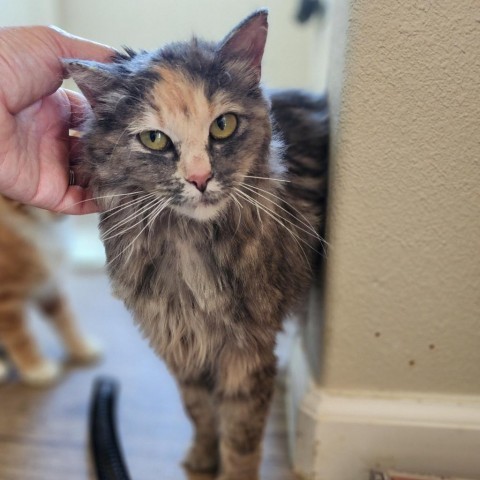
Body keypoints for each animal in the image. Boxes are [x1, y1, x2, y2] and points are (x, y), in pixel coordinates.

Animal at [0, 197, 100, 388]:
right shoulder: (6, 299)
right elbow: (20, 336)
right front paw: (35, 367)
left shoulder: (49, 286)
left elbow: (65, 318)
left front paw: (81, 347)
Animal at [65, 11, 328, 480]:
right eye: (154, 139)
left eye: (223, 125)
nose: (200, 179)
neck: (188, 246)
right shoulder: (179, 345)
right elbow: (200, 412)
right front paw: (202, 459)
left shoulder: (247, 352)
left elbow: (240, 439)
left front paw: (230, 470)